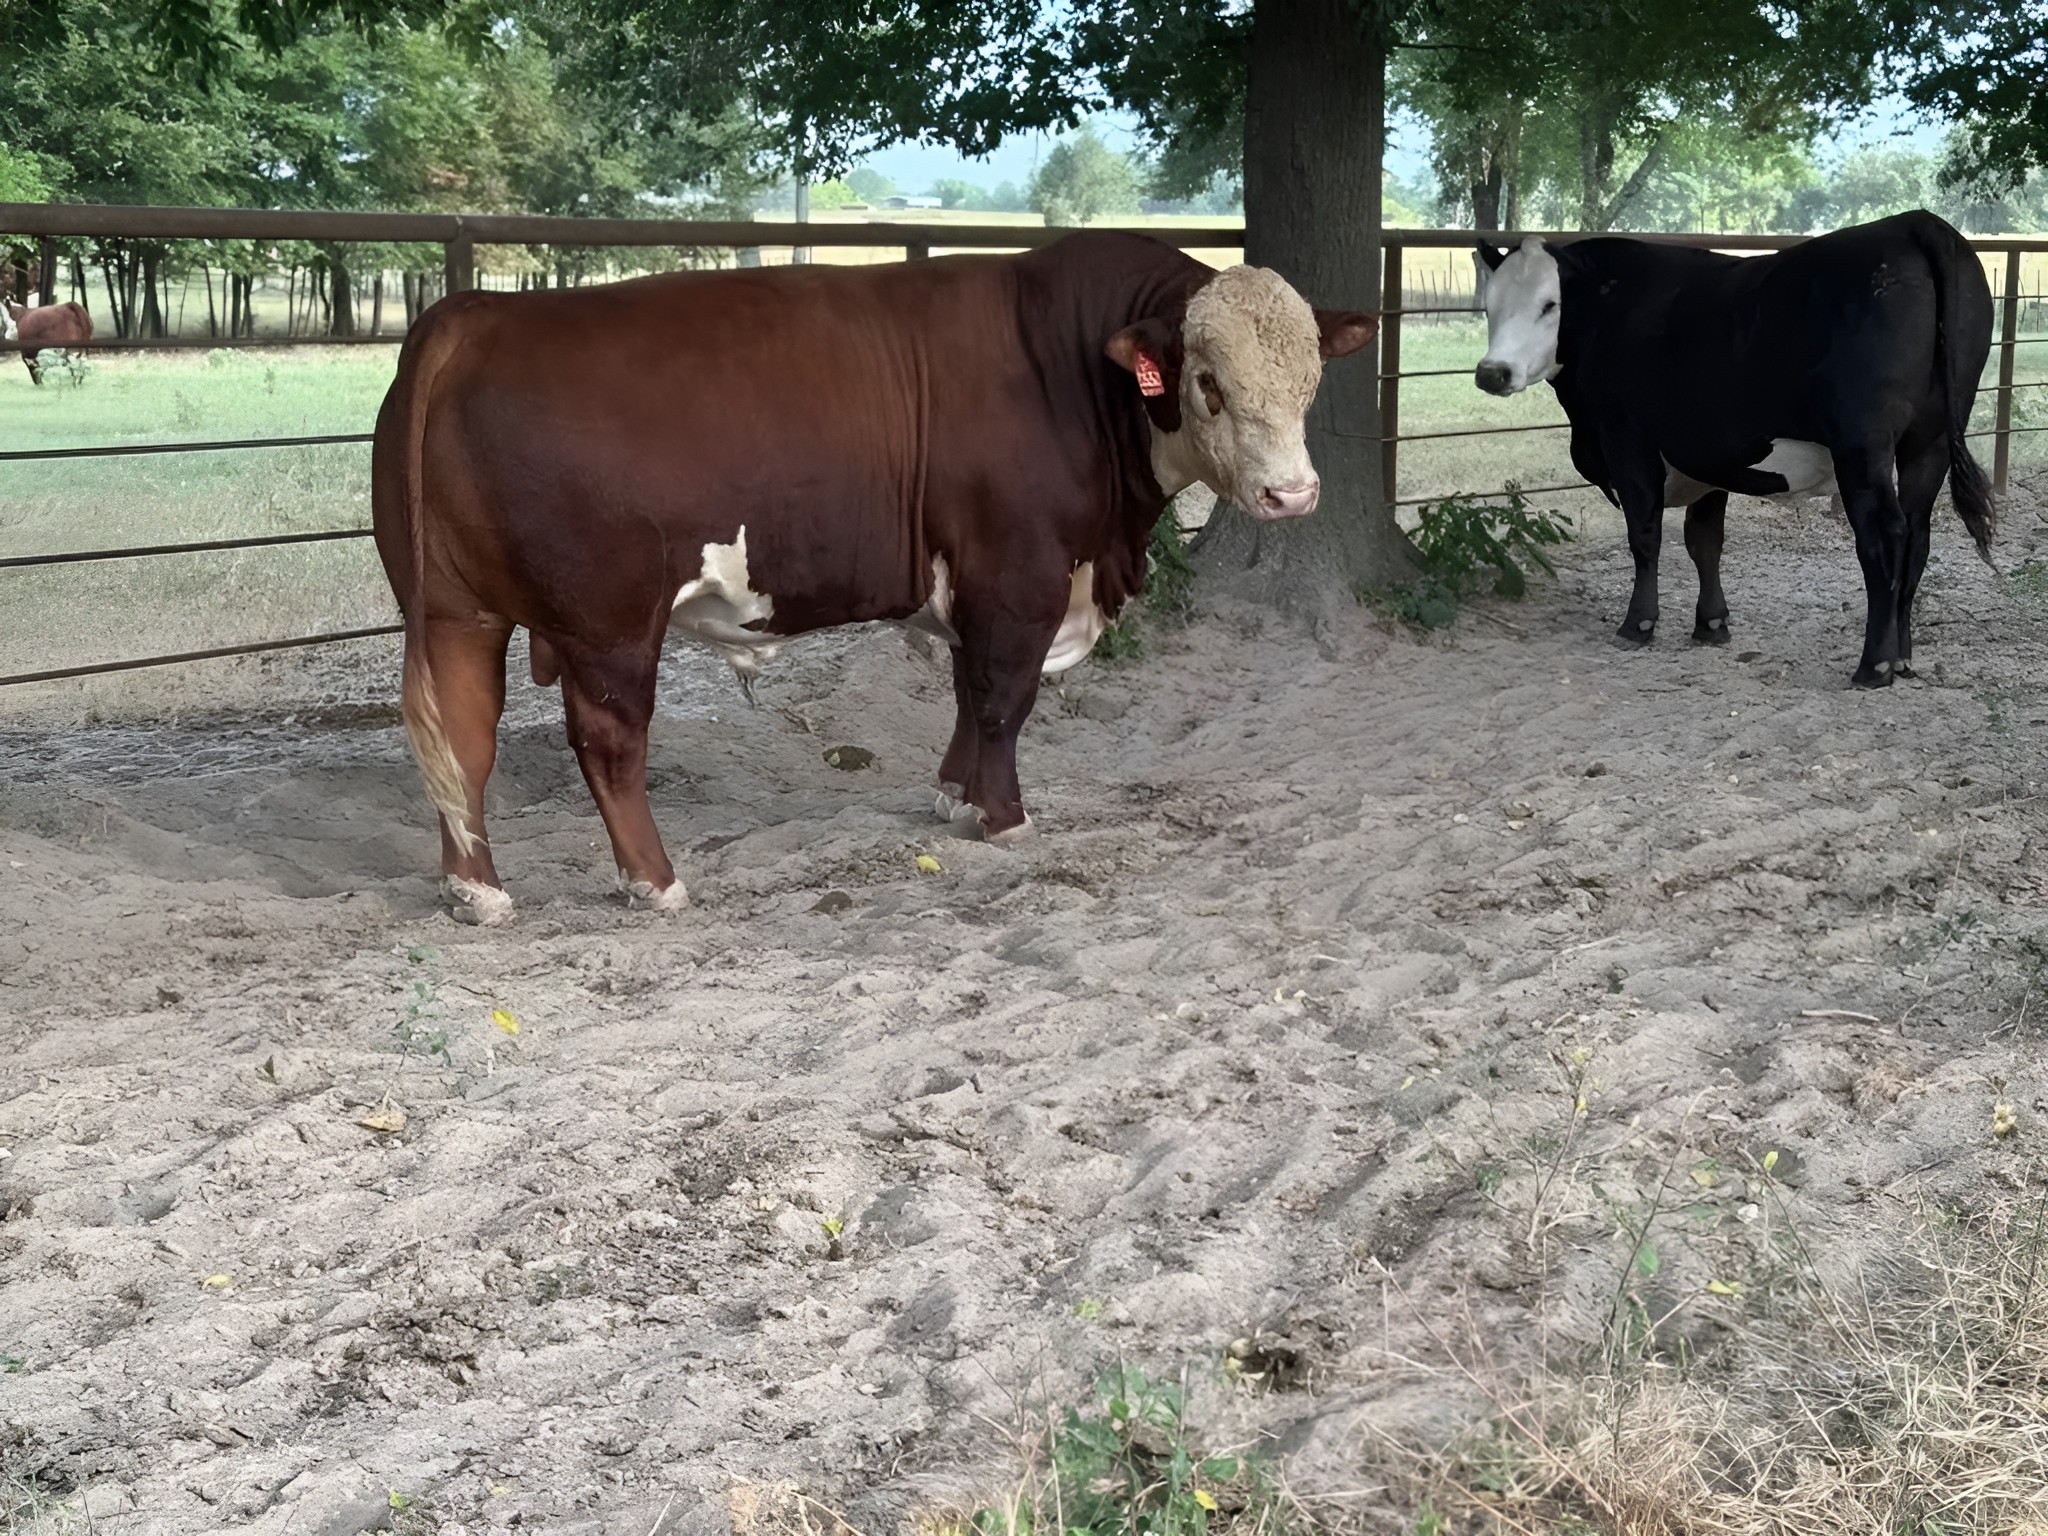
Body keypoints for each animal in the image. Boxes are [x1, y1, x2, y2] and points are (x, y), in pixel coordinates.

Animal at [371, 231, 1376, 924]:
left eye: (1311, 378)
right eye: (1208, 383)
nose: (1293, 494)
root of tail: (477, 313)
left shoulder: (979, 584)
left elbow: (970, 695)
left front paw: (953, 794)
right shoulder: (1020, 576)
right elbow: (1003, 698)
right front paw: (1003, 817)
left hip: (457, 612)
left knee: (462, 738)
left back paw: (477, 891)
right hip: (608, 622)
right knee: (606, 742)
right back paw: (655, 882)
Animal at [1473, 210, 1995, 688]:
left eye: (1549, 305)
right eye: (1489, 305)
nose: (1492, 372)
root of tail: (1913, 222)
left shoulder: (1626, 439)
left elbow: (1645, 536)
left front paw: (1638, 624)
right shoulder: (1708, 455)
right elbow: (1705, 541)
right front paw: (1711, 624)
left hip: (1862, 447)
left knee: (1884, 537)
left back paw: (1875, 665)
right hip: (1928, 445)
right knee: (1917, 536)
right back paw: (1903, 657)